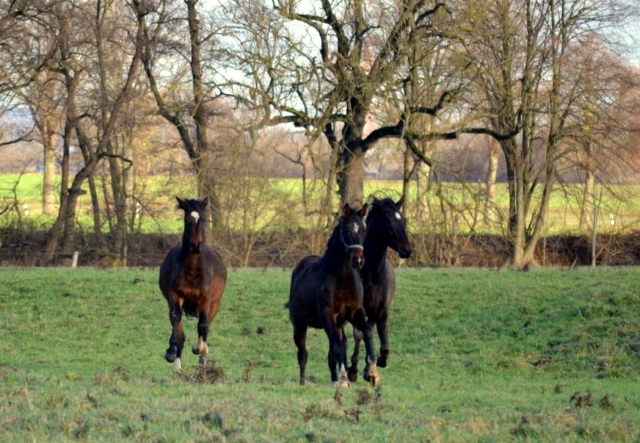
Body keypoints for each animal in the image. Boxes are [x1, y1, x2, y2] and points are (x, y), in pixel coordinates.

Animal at [158, 198, 226, 372]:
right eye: (186, 220)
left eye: (202, 219)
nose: (195, 246)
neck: (193, 269)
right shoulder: (175, 297)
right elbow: (177, 323)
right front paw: (171, 352)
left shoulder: (206, 300)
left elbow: (202, 326)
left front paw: (198, 349)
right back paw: (177, 366)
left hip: (215, 304)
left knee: (206, 326)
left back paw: (203, 358)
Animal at [288, 205, 378, 388]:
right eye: (345, 229)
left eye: (364, 229)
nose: (358, 261)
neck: (342, 280)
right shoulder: (327, 315)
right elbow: (338, 348)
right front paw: (344, 379)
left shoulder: (355, 313)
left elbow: (367, 332)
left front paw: (372, 372)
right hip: (300, 324)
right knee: (303, 354)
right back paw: (303, 382)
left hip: (338, 324)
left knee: (336, 348)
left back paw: (334, 378)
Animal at [348, 196, 412, 384]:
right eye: (388, 221)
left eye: (404, 220)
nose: (407, 250)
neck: (373, 273)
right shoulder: (358, 309)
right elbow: (359, 335)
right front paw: (354, 369)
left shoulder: (382, 311)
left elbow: (384, 346)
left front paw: (375, 366)